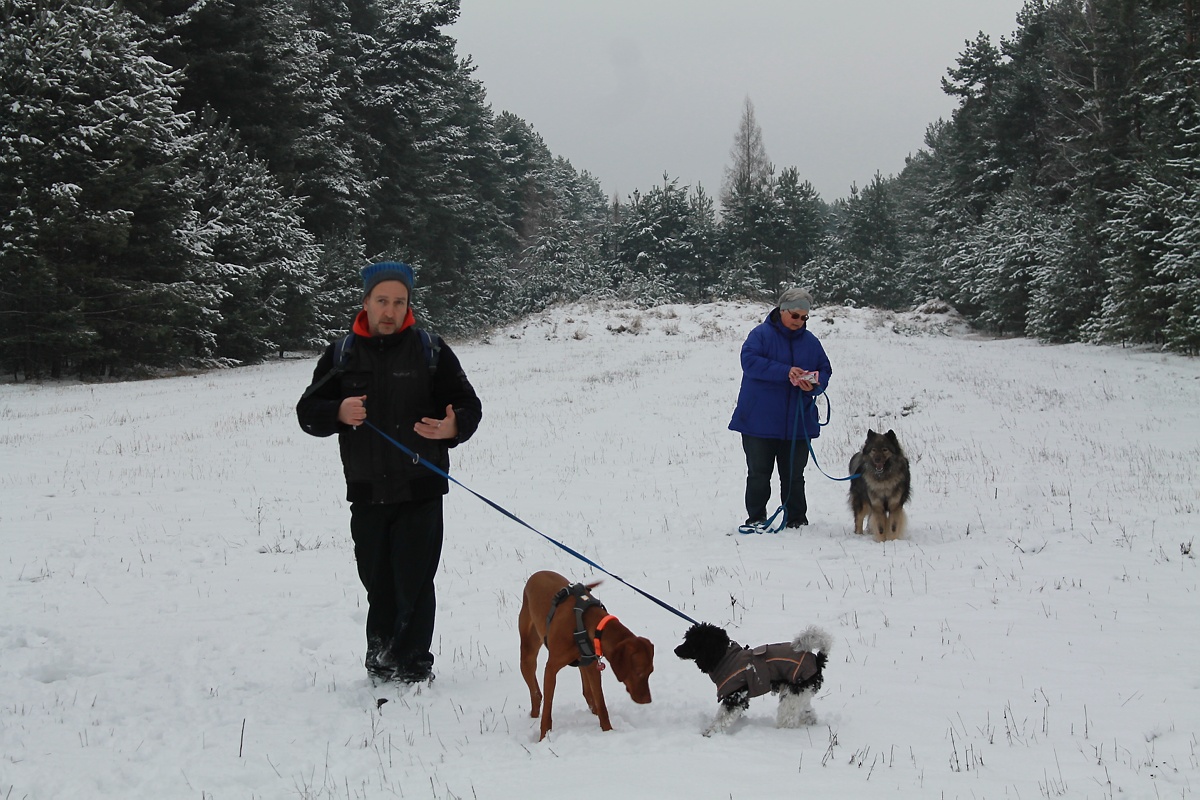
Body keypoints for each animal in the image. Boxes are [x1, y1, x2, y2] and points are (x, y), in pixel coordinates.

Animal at [518, 568, 657, 738]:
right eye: (639, 672)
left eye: (650, 672)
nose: (648, 700)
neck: (585, 623)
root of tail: (537, 573)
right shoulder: (551, 669)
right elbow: (547, 708)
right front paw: (544, 736)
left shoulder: (593, 665)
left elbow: (601, 701)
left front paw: (607, 730)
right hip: (527, 654)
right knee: (536, 693)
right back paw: (533, 715)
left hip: (583, 661)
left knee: (587, 691)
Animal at [676, 618, 835, 738]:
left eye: (692, 642)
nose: (675, 650)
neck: (724, 657)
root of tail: (817, 660)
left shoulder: (735, 696)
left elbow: (722, 718)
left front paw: (709, 733)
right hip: (799, 693)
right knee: (807, 712)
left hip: (791, 695)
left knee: (788, 719)